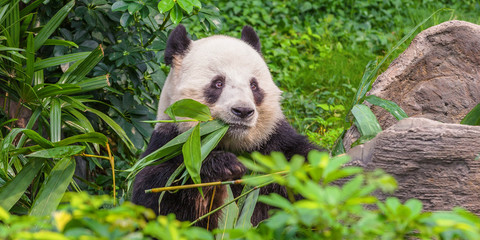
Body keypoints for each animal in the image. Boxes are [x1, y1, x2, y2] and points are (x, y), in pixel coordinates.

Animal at [132, 24, 318, 229]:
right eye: (218, 83)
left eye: (254, 85)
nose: (243, 111)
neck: (231, 142)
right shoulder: (169, 142)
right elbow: (158, 194)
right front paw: (224, 165)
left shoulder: (274, 143)